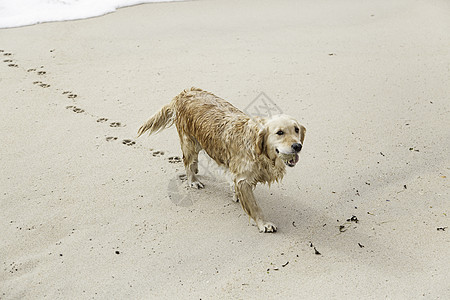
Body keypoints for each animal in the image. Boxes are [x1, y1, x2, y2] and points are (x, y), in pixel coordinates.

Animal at [138, 88, 306, 233]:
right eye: (280, 132)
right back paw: (193, 180)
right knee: (188, 162)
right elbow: (254, 206)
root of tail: (185, 92)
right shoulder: (243, 179)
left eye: (296, 129)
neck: (257, 149)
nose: (297, 146)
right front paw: (263, 223)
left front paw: (235, 194)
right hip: (188, 142)